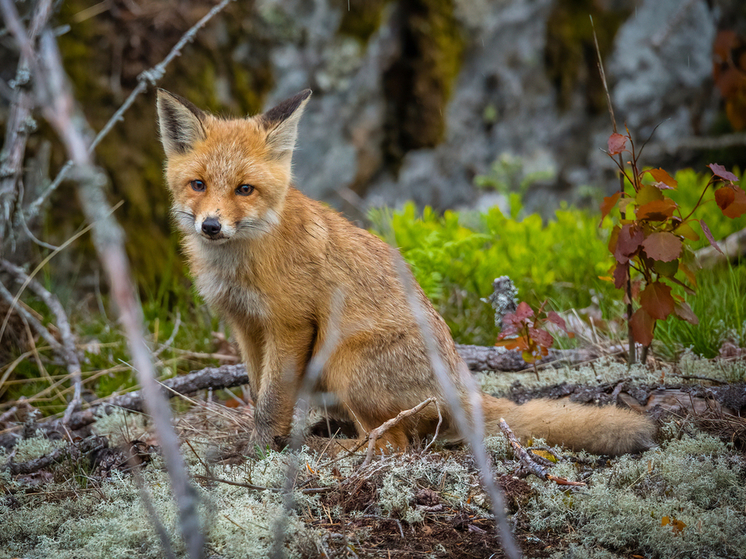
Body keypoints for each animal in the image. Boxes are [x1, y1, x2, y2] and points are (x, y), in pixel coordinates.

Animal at [155, 86, 652, 456]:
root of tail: (462, 385)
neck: (241, 263)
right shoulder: (246, 327)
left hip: (344, 360)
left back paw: (329, 449)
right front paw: (260, 443)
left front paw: (260, 452)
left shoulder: (289, 325)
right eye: (198, 185)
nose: (211, 226)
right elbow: (260, 393)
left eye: (245, 189)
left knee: (391, 444)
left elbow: (271, 401)